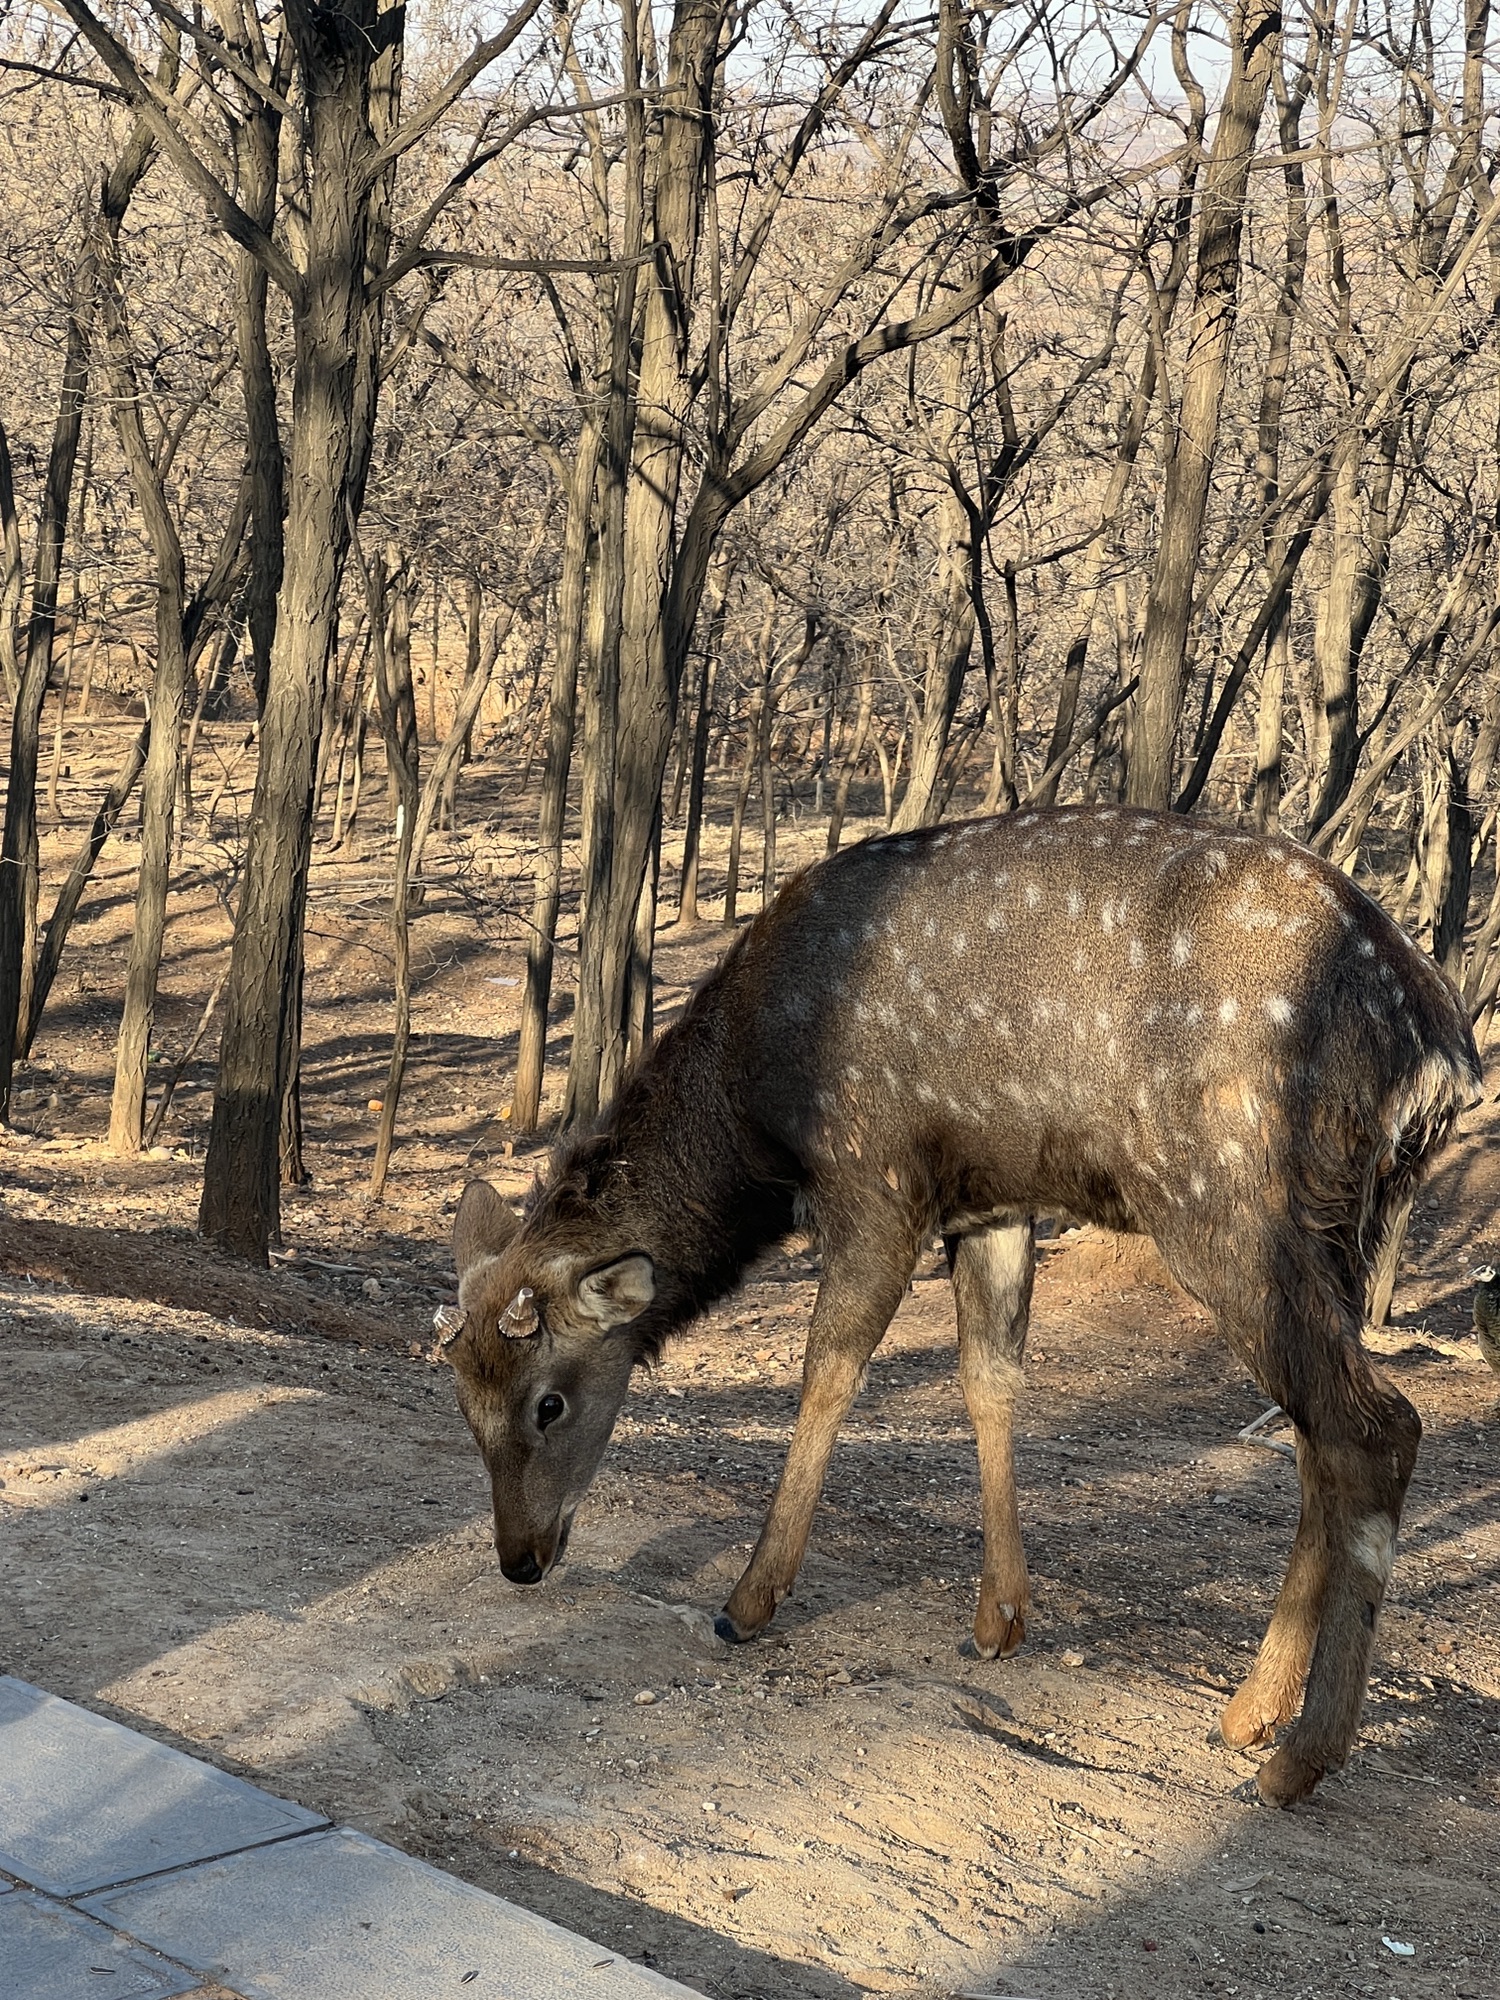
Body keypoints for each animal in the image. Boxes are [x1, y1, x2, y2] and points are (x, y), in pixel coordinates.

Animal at [438, 805, 1480, 1808]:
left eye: (548, 1401)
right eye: (464, 1402)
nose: (519, 1558)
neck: (756, 1104)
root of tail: (1442, 1055)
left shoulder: (875, 1173)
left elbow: (829, 1369)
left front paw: (748, 1601)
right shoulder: (994, 1199)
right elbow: (989, 1377)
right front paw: (999, 1617)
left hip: (1227, 1196)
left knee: (1375, 1426)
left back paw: (1297, 1758)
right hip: (1335, 1234)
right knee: (1316, 1437)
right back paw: (1251, 1710)